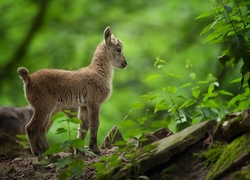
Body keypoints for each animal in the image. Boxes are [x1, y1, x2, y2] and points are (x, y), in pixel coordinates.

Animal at [17, 26, 127, 158]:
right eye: (118, 49)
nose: (125, 63)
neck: (99, 72)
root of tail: (28, 79)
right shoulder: (94, 102)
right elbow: (94, 124)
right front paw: (95, 150)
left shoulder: (83, 105)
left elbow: (83, 127)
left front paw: (79, 151)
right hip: (43, 106)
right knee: (31, 127)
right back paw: (38, 153)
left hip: (50, 109)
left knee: (42, 128)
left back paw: (51, 154)